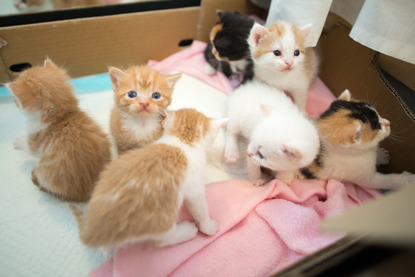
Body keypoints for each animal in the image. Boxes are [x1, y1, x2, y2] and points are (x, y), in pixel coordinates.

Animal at [8, 58, 112, 201]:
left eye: (16, 101)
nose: (13, 101)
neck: (61, 117)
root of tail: (88, 192)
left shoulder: (34, 140)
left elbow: (28, 146)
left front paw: (17, 142)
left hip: (45, 173)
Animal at [70, 106, 229, 247]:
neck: (182, 141)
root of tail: (94, 229)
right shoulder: (194, 189)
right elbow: (200, 208)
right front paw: (208, 226)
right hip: (160, 218)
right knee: (162, 240)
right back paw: (187, 231)